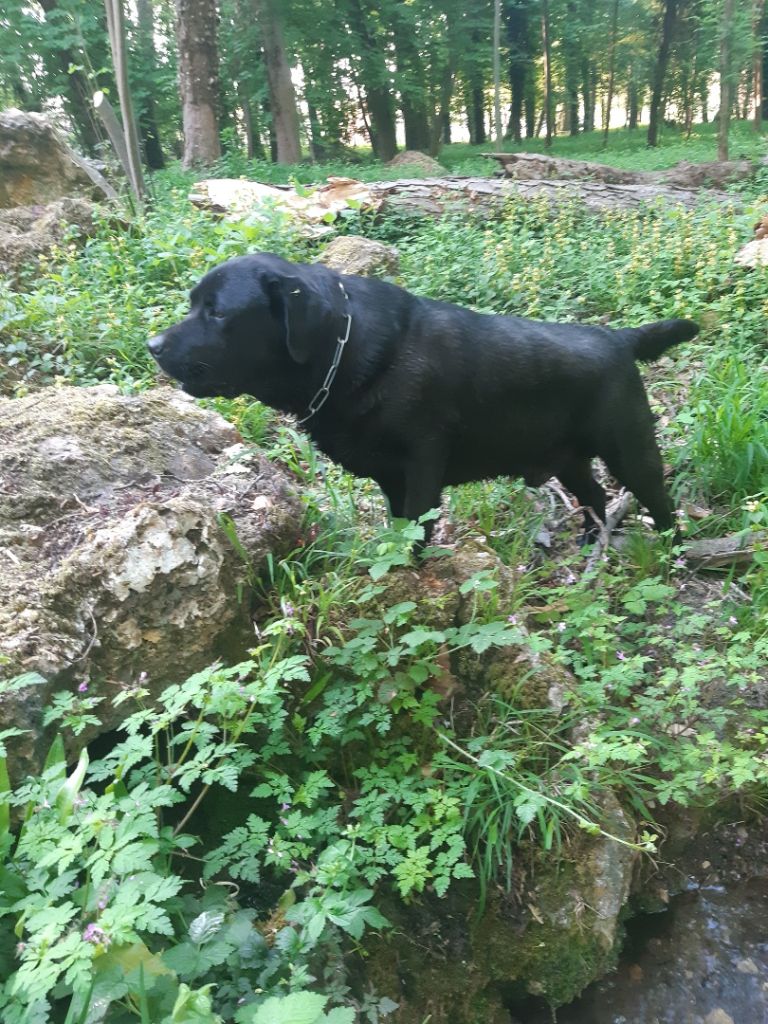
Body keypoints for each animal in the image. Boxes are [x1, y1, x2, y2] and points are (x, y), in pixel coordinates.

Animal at [147, 253, 700, 544]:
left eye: (218, 312)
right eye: (194, 304)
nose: (152, 346)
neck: (346, 349)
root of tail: (618, 338)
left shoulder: (421, 469)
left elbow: (416, 532)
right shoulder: (391, 477)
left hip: (630, 450)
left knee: (658, 500)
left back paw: (667, 550)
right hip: (567, 460)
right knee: (596, 496)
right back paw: (589, 543)